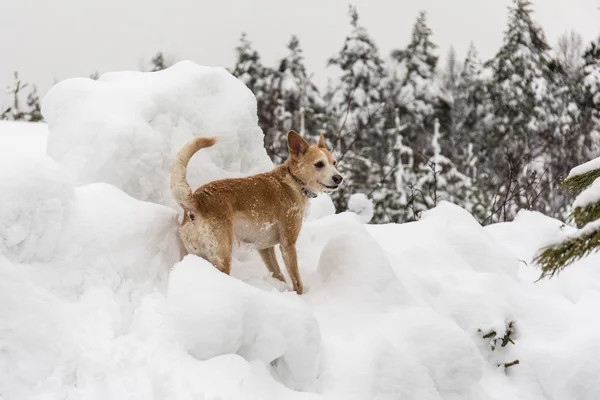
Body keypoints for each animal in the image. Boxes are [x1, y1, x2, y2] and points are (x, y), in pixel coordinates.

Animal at [171, 131, 344, 294]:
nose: (339, 178)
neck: (294, 181)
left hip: (199, 254)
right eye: (319, 164)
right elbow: (296, 279)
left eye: (334, 163)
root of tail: (197, 200)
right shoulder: (287, 244)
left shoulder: (265, 248)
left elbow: (278, 273)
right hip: (221, 255)